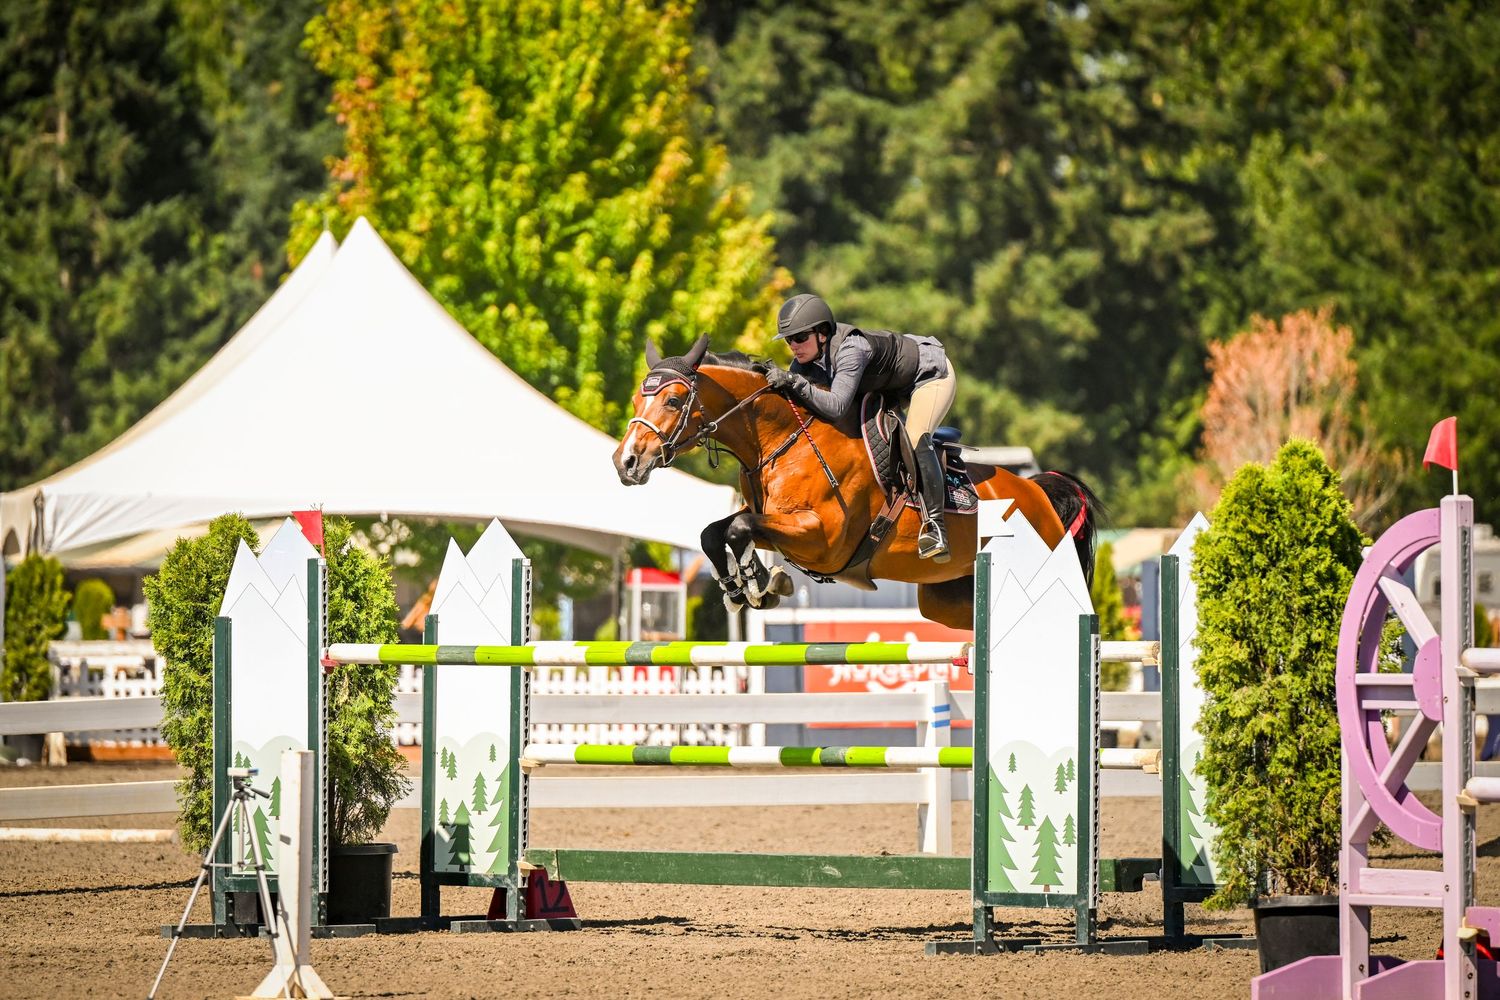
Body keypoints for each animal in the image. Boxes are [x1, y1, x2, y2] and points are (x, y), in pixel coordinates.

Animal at [611, 335, 1100, 629]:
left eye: (674, 400)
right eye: (636, 398)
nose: (626, 462)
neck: (780, 440)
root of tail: (1038, 492)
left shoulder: (822, 538)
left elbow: (737, 528)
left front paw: (759, 581)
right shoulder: (776, 522)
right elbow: (715, 532)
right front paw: (747, 588)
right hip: (946, 598)